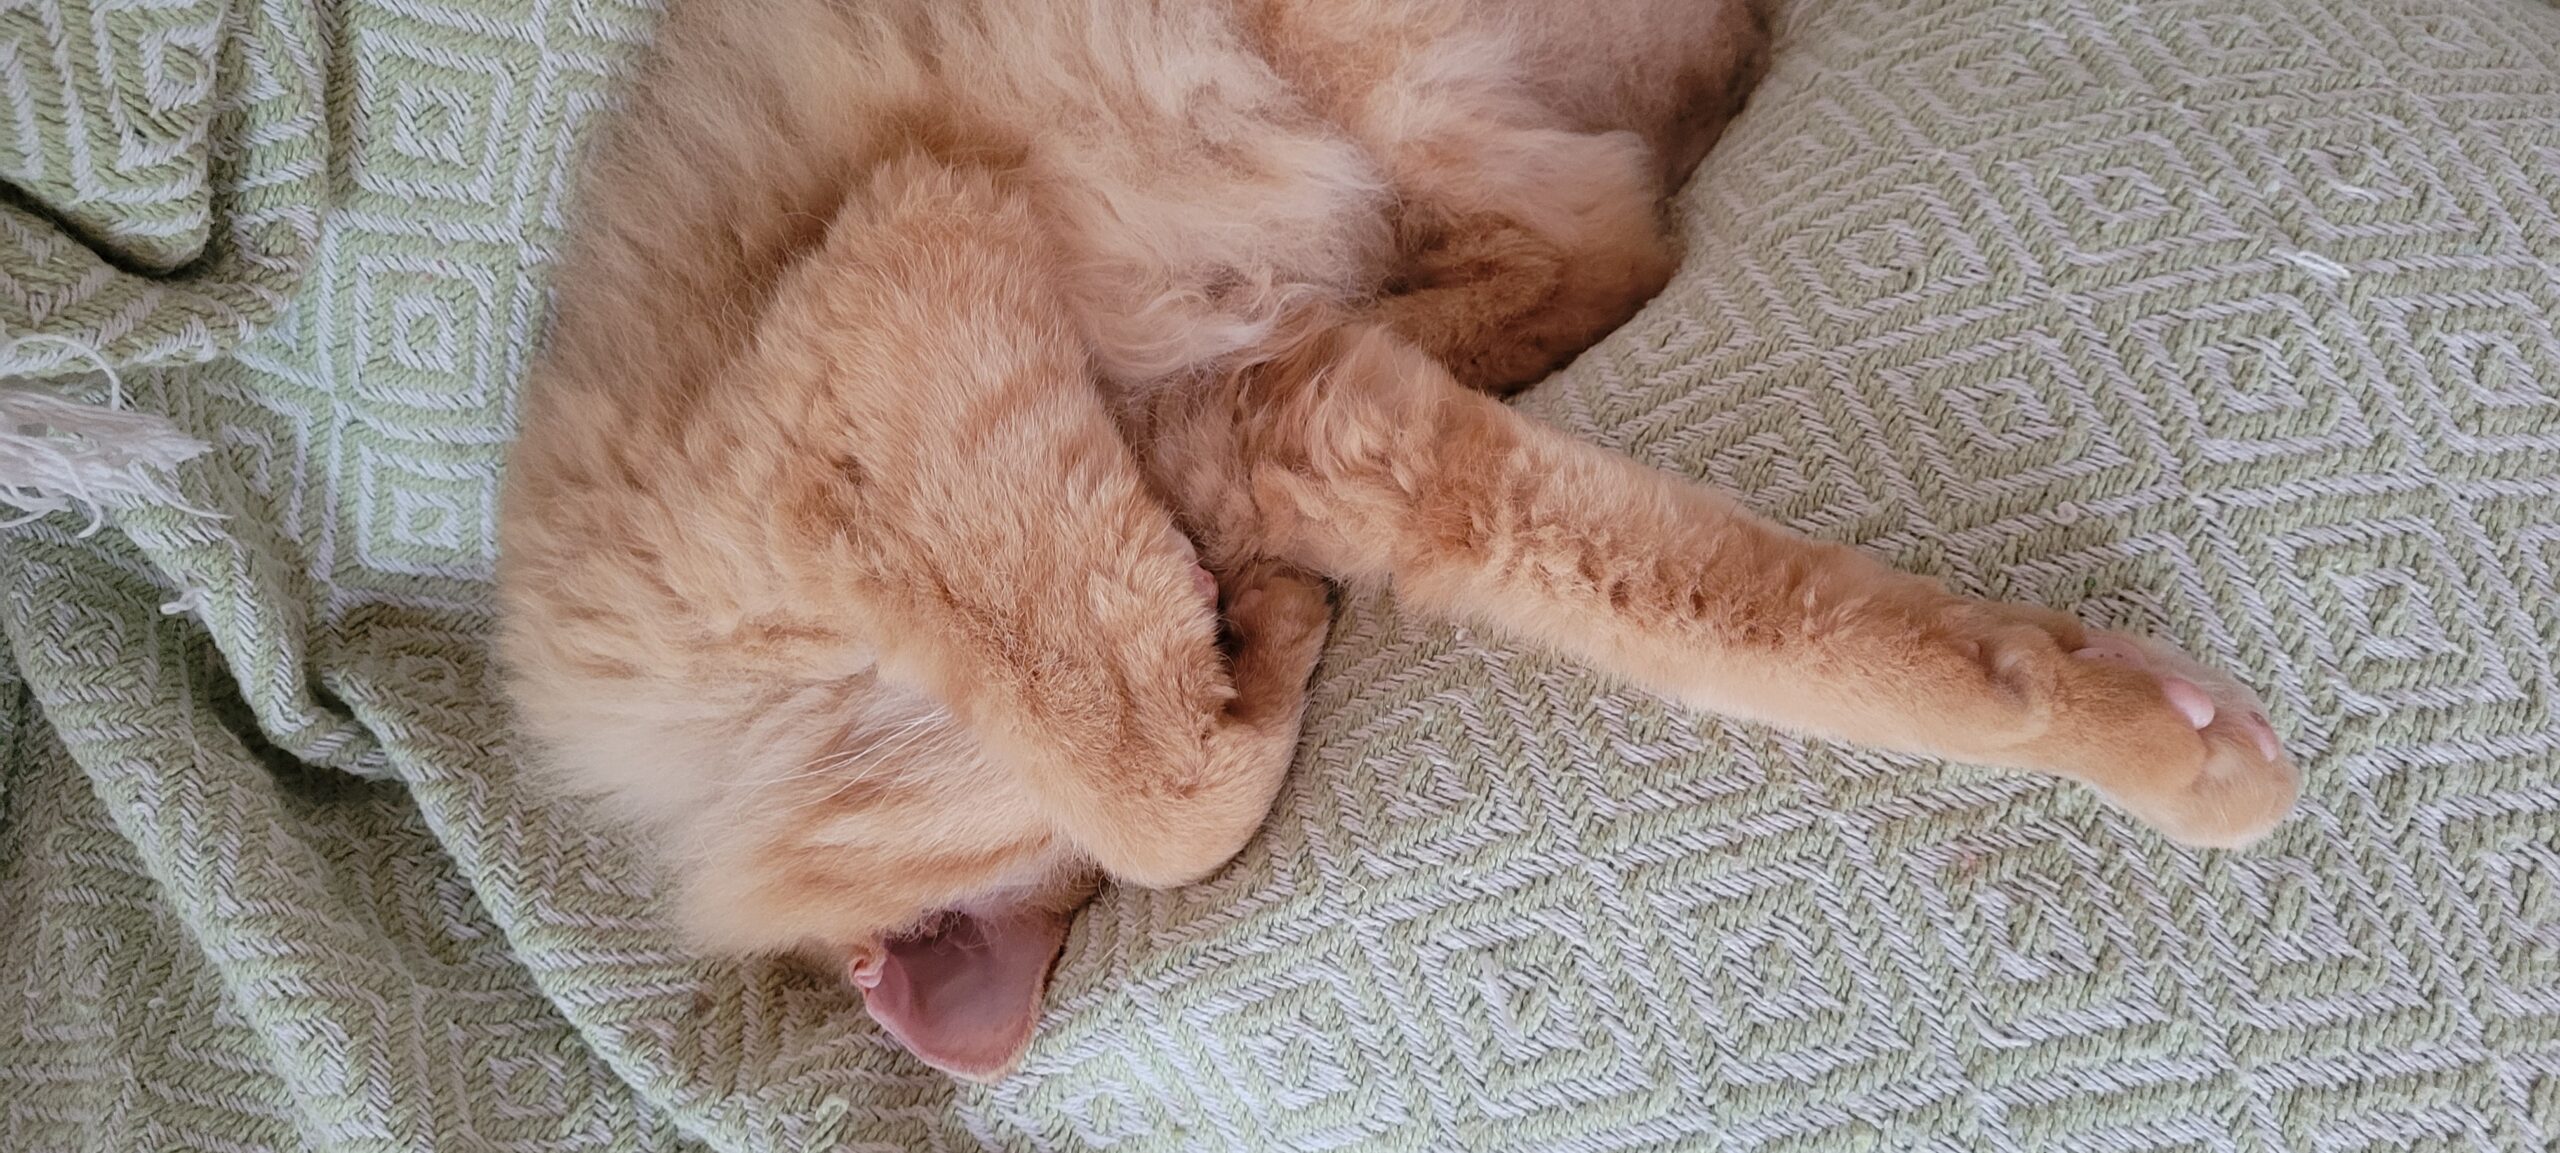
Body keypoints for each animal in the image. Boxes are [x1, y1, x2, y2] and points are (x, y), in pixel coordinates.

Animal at [499, 0, 2304, 1081]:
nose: (1241, 599)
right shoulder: (1311, 431)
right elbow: (1764, 616)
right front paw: (2151, 726)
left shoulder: (890, 302)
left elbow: (1161, 793)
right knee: (1606, 231)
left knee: (1602, 231)